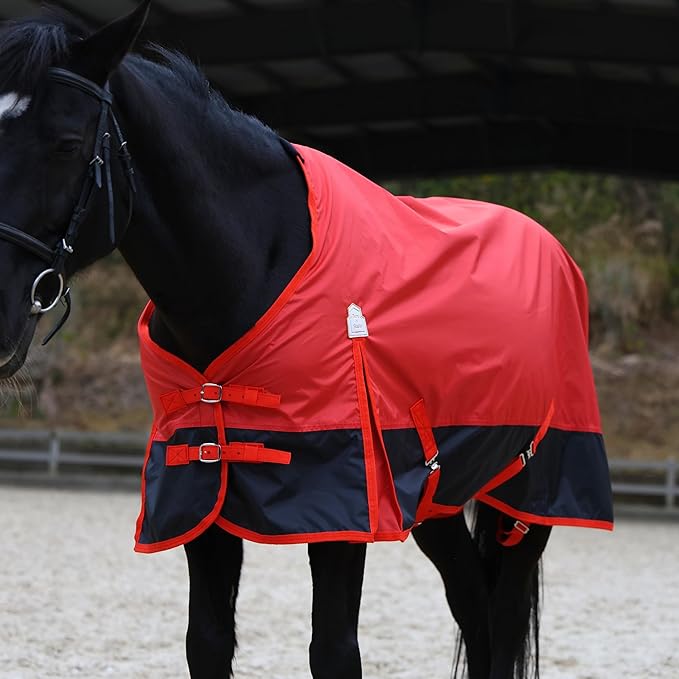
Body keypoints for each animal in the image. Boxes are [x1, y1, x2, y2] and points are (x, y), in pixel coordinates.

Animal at [0, 3, 613, 678]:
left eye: (67, 143)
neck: (255, 266)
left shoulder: (342, 503)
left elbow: (334, 651)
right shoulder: (202, 491)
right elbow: (206, 641)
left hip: (534, 493)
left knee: (500, 620)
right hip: (439, 497)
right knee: (473, 607)